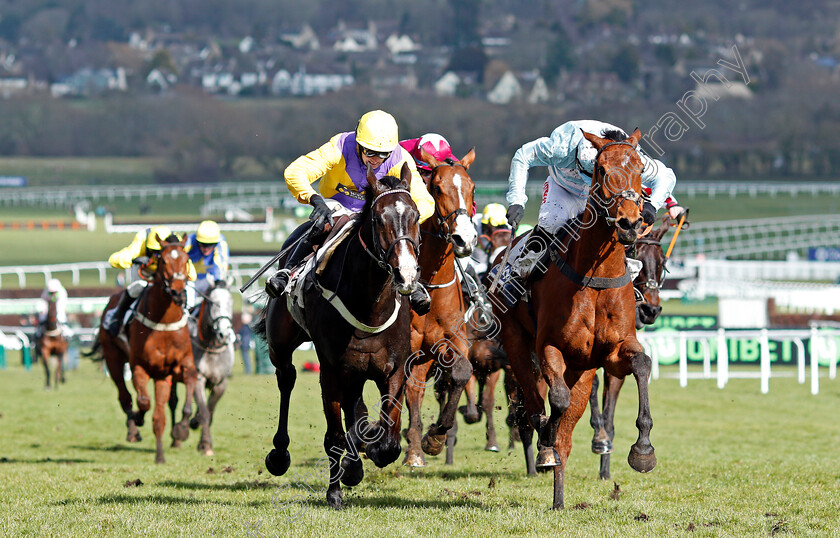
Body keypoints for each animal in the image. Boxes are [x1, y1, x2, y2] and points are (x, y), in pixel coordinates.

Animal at [260, 163, 424, 506]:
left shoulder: (393, 369)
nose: (405, 274)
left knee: (355, 406)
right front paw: (336, 488)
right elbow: (335, 435)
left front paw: (365, 450)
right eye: (378, 219)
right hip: (282, 346)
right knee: (287, 378)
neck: (369, 306)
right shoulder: (332, 371)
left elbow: (388, 439)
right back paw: (280, 454)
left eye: (415, 215)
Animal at [492, 129, 656, 506]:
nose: (629, 222)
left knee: (566, 432)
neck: (595, 275)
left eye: (640, 168)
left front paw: (643, 450)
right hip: (516, 342)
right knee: (535, 405)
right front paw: (545, 443)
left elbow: (642, 364)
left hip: (583, 370)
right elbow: (556, 400)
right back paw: (545, 453)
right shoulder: (550, 345)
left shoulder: (613, 352)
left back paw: (559, 500)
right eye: (601, 169)